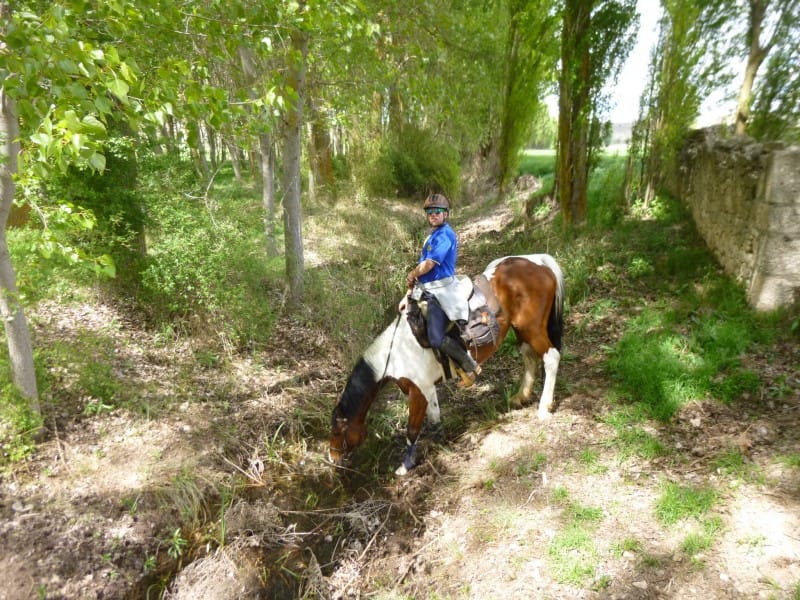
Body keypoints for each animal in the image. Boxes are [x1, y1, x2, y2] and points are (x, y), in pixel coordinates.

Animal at [328, 253, 564, 474]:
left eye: (337, 431)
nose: (332, 459)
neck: (396, 354)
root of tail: (537, 261)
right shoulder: (426, 389)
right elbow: (434, 418)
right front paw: (440, 442)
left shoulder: (418, 392)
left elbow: (412, 429)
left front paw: (406, 465)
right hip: (521, 330)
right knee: (529, 357)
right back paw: (520, 396)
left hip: (532, 328)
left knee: (551, 357)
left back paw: (544, 407)